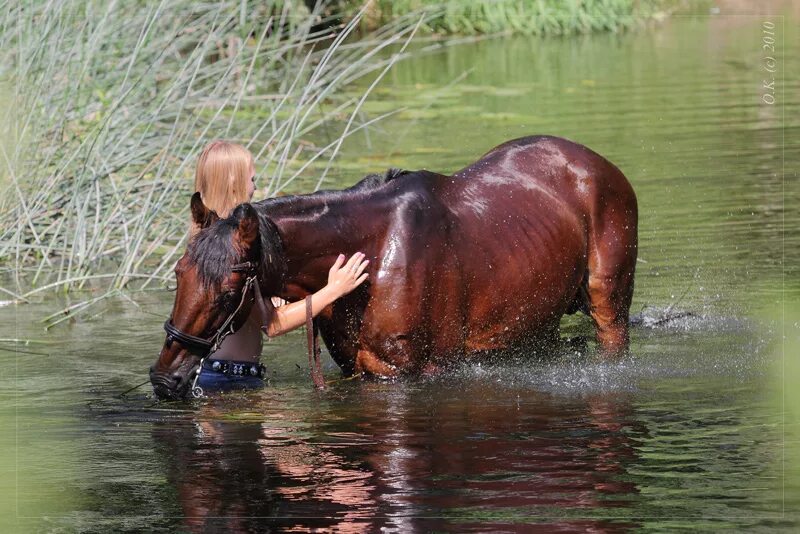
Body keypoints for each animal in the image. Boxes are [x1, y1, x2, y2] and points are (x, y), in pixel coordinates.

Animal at [150, 136, 636, 400]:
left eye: (231, 292)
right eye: (178, 273)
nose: (164, 379)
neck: (376, 253)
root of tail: (598, 164)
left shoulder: (425, 371)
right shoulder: (360, 371)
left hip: (609, 307)